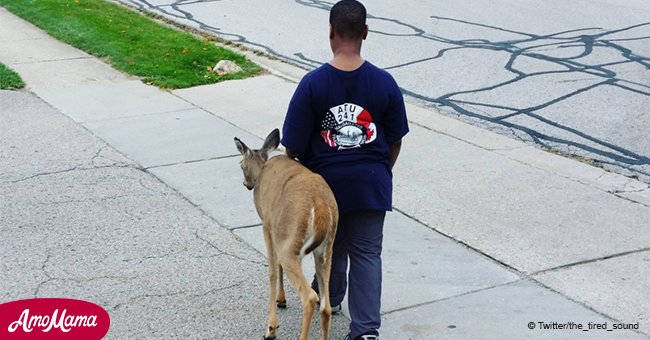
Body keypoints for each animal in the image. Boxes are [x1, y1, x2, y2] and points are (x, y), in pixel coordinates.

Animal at [233, 128, 336, 340]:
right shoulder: (277, 231)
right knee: (326, 306)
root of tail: (321, 205)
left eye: (240, 165)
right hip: (326, 248)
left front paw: (271, 328)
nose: (246, 184)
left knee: (310, 297)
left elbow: (272, 270)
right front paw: (281, 299)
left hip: (291, 242)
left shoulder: (267, 224)